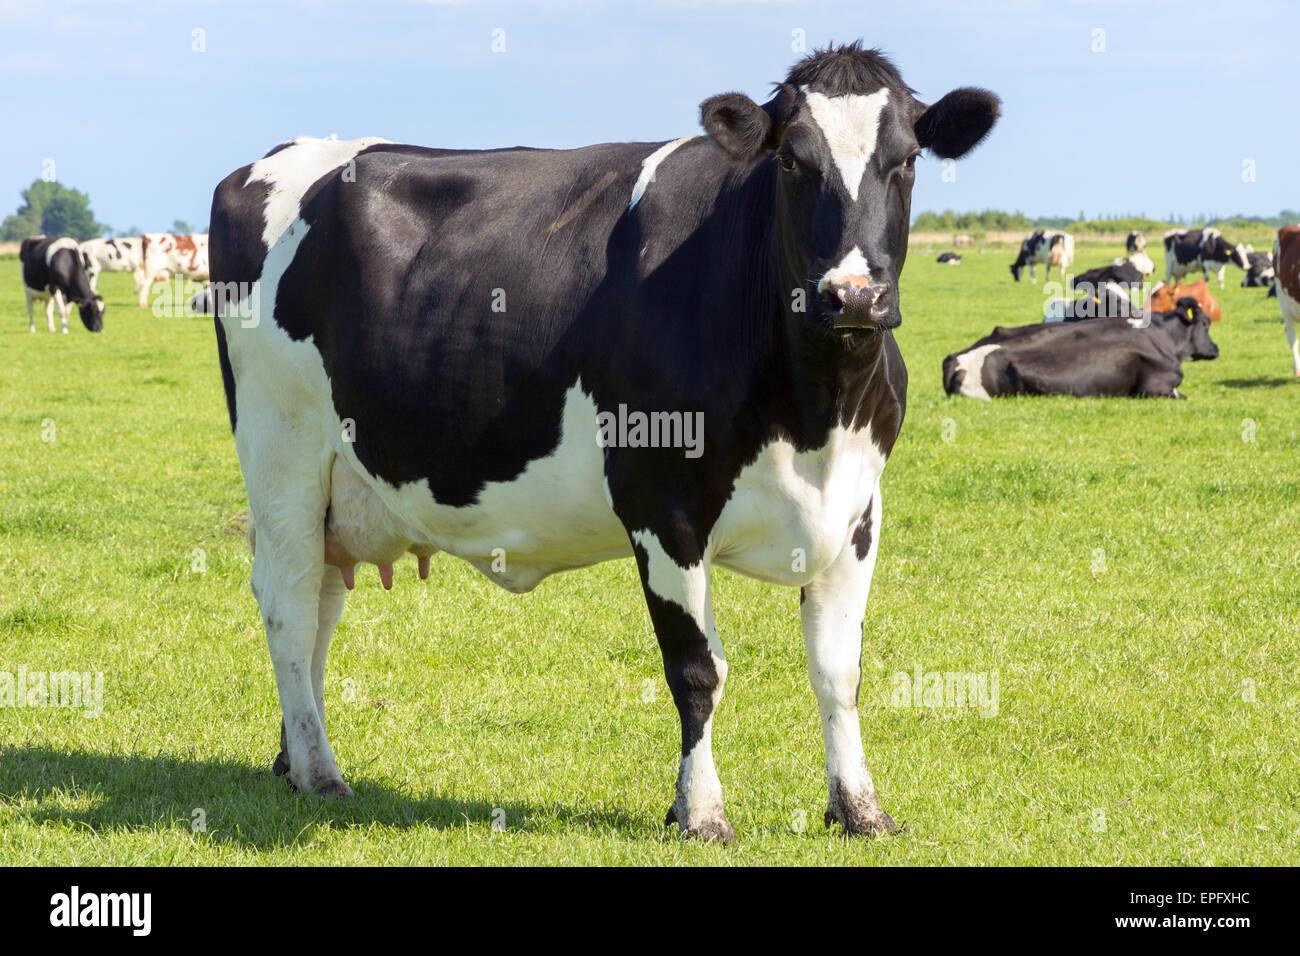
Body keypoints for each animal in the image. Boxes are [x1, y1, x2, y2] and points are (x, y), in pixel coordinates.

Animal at [205, 42, 1003, 837]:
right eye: (790, 161)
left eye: (907, 160)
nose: (853, 295)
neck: (815, 412)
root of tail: (277, 156)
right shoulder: (662, 506)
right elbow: (698, 670)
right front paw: (700, 811)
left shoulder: (859, 510)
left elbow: (839, 670)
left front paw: (861, 808)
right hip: (282, 454)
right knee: (287, 604)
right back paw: (319, 771)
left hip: (337, 490)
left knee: (319, 605)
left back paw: (292, 757)